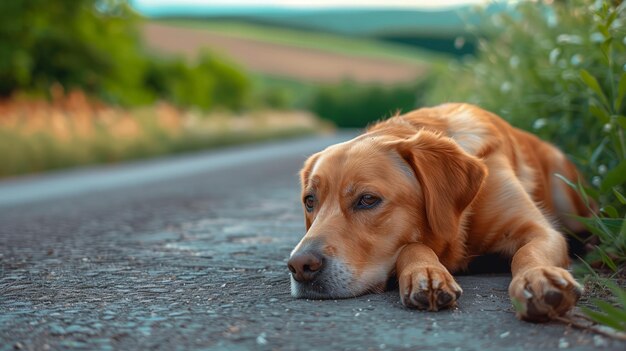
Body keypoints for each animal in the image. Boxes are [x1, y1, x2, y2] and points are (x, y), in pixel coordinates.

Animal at [286, 102, 588, 322]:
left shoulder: (541, 231)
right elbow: (411, 246)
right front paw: (426, 273)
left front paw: (538, 277)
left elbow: (527, 253)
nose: (300, 266)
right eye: (310, 200)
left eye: (368, 200)